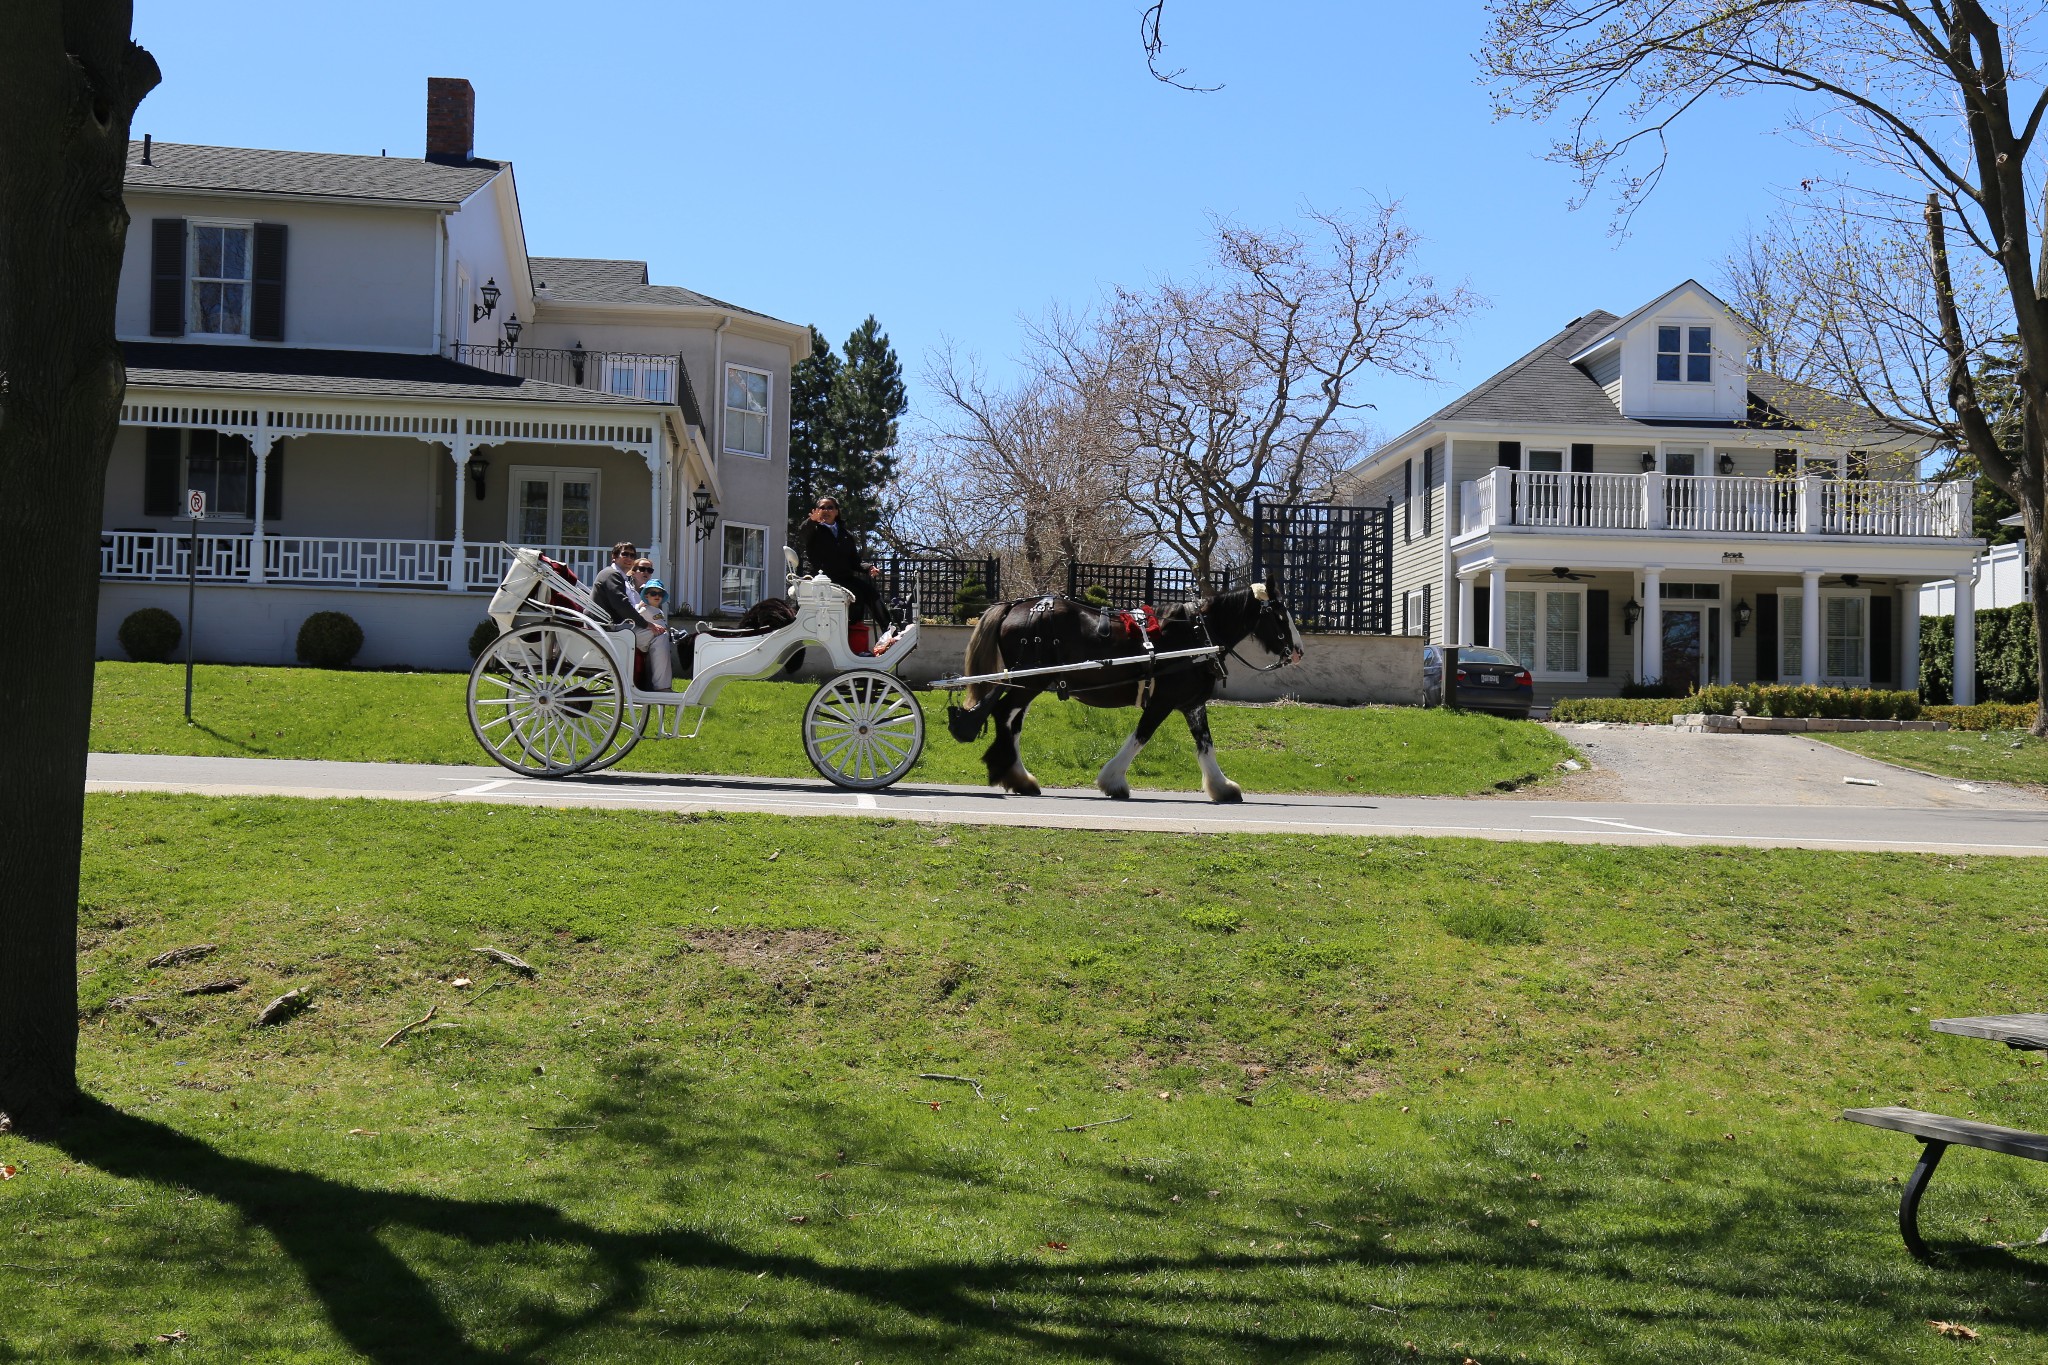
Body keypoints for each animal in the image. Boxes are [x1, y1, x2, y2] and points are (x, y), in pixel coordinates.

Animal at [950, 585, 1302, 802]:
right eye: (1279, 614)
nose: (1298, 651)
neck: (1198, 633)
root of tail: (1014, 605)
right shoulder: (1163, 701)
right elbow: (1141, 736)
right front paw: (1113, 780)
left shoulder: (1191, 703)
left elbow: (1205, 744)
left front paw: (1222, 787)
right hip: (1032, 681)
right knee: (1003, 716)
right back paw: (1014, 775)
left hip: (1027, 682)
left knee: (1012, 723)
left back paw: (1018, 777)